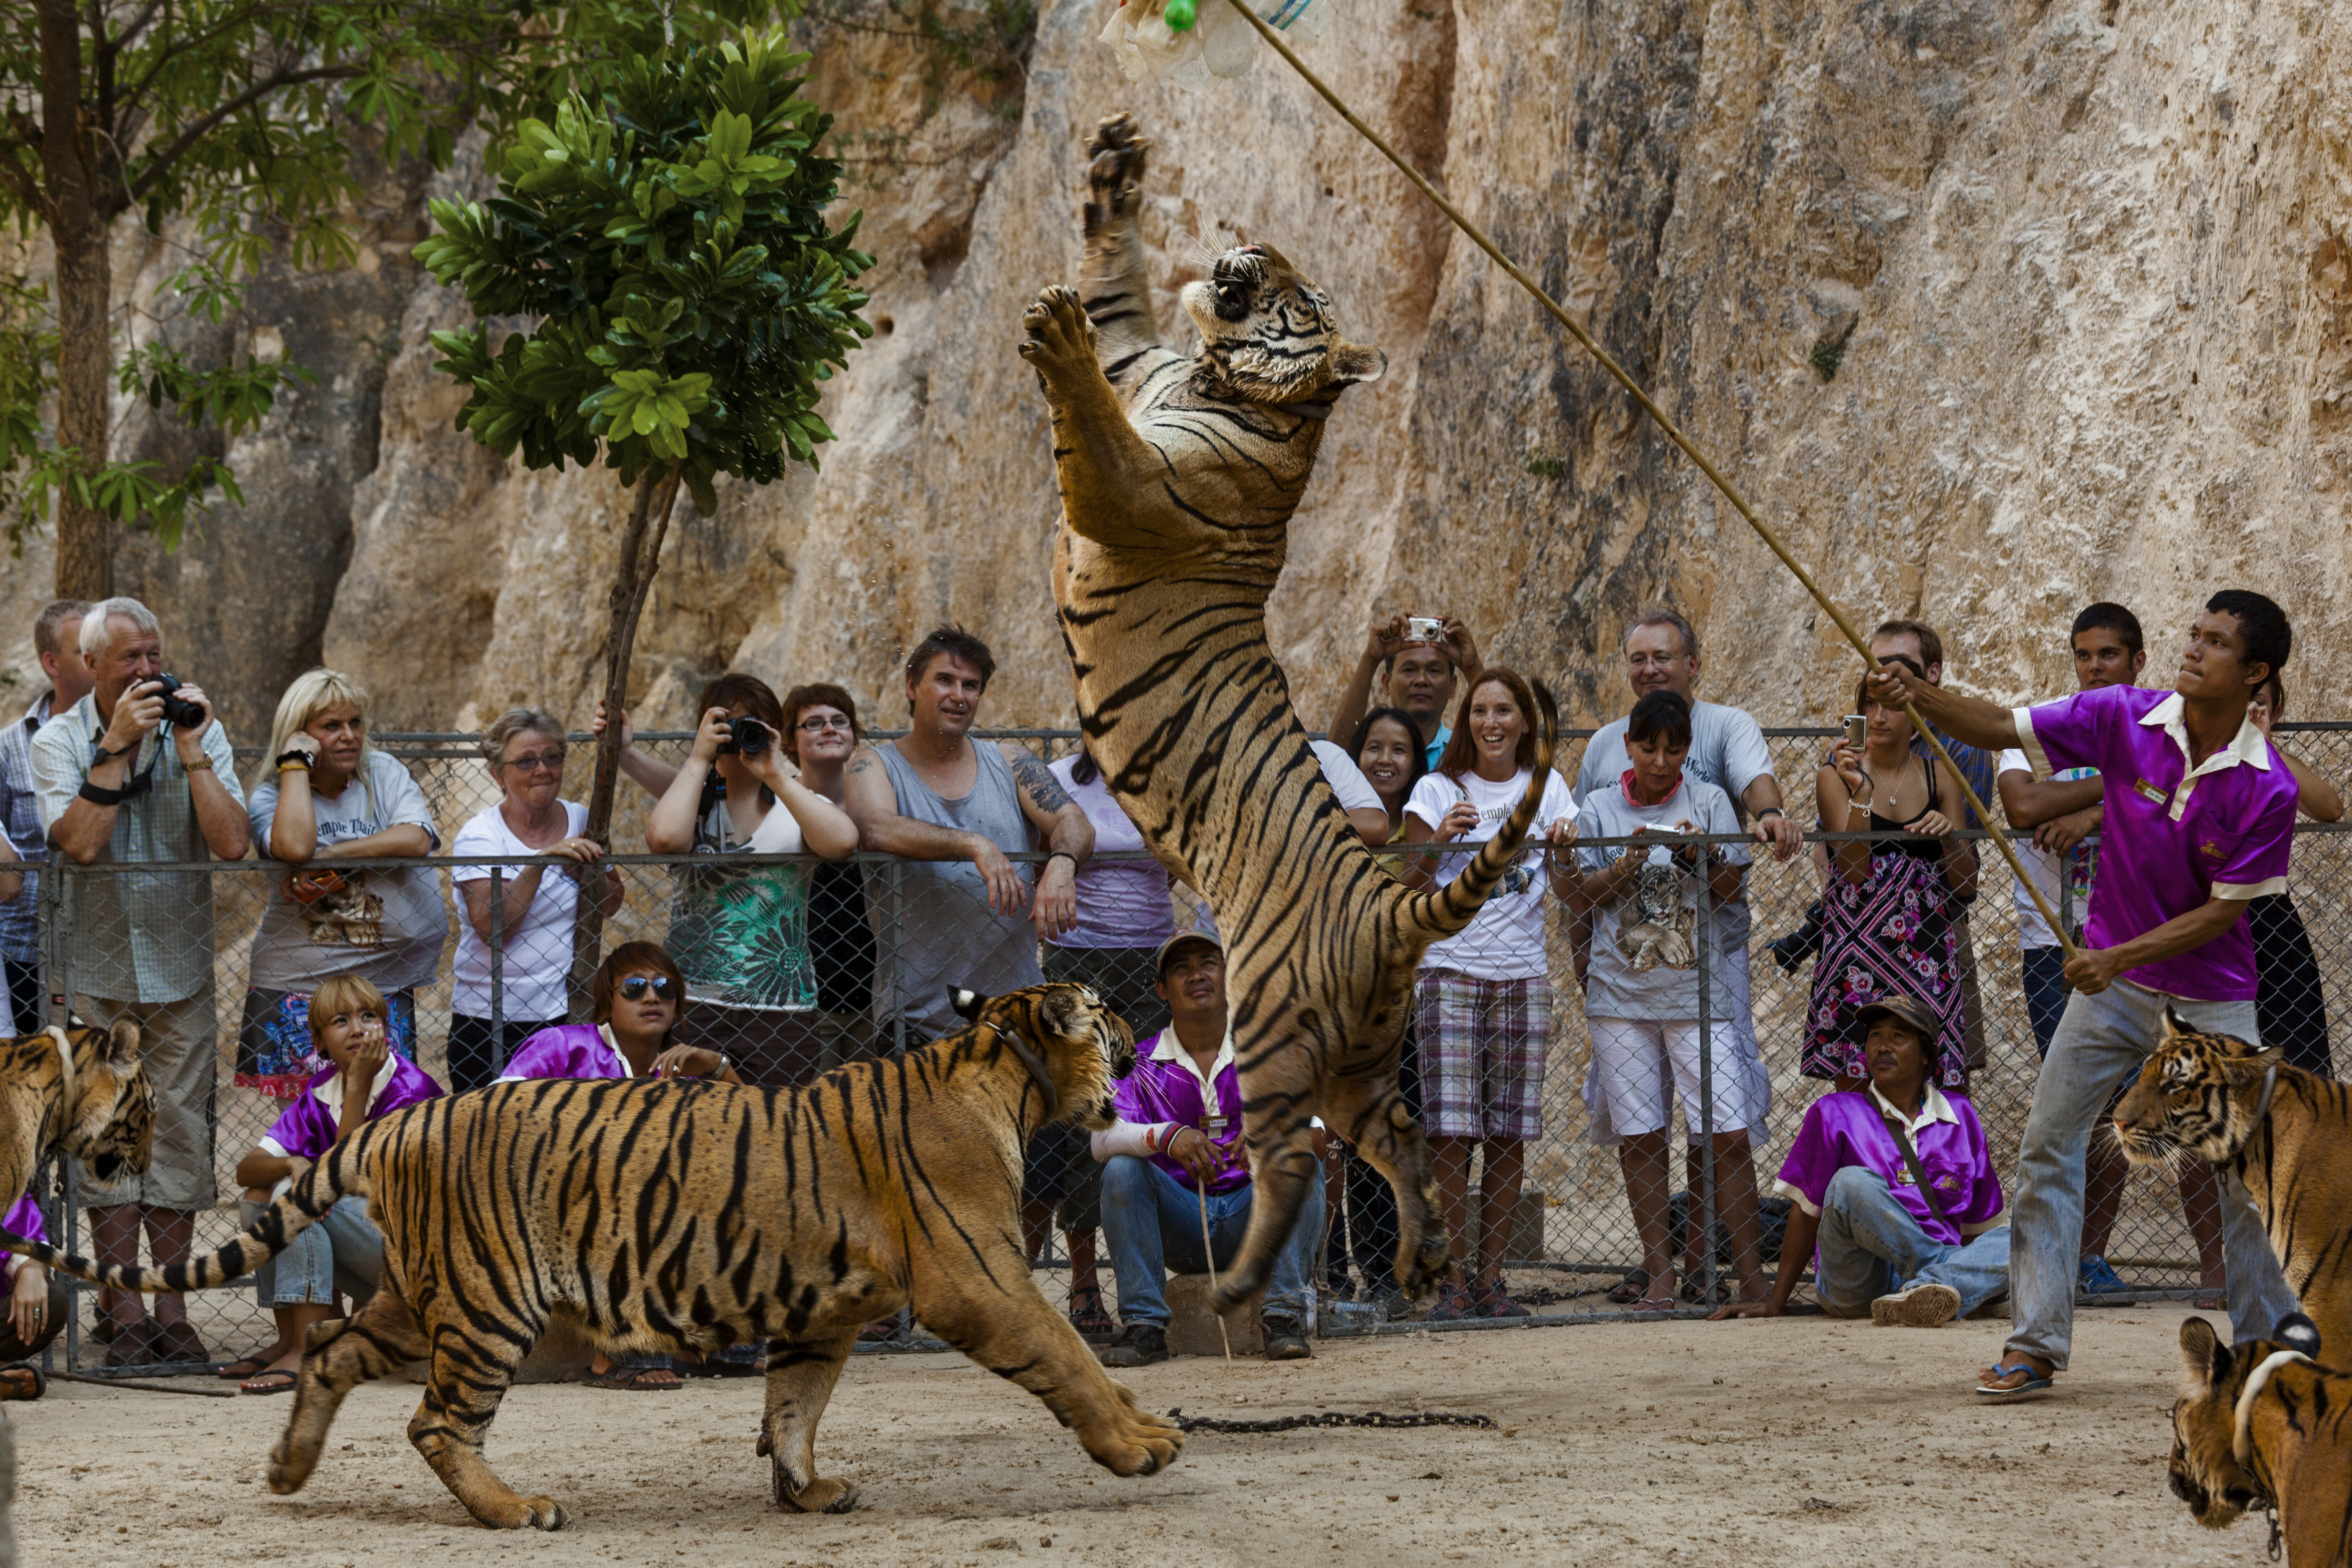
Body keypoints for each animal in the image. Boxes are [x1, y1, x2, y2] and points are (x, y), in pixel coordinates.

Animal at [1016, 113, 1552, 1316]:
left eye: (1299, 296)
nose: (1246, 258)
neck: (1216, 376)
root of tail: (1390, 906)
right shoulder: (1141, 356)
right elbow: (1115, 286)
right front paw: (1114, 167)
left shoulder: (1133, 487)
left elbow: (1094, 431)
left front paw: (1053, 335)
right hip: (1362, 1060)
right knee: (1399, 1140)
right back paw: (1422, 1259)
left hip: (1267, 1037)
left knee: (1292, 1163)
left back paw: (1243, 1290)